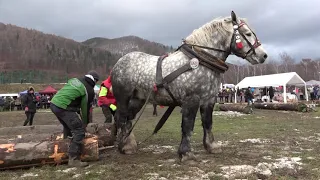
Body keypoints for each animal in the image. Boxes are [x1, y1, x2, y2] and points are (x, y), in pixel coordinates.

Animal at [111, 11, 266, 160]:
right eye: (248, 33)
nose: (264, 55)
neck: (201, 60)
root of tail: (118, 62)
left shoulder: (208, 99)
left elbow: (207, 122)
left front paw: (211, 146)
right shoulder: (192, 99)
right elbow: (188, 125)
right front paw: (186, 153)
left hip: (138, 99)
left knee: (128, 119)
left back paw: (129, 144)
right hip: (123, 97)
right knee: (121, 117)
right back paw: (125, 146)